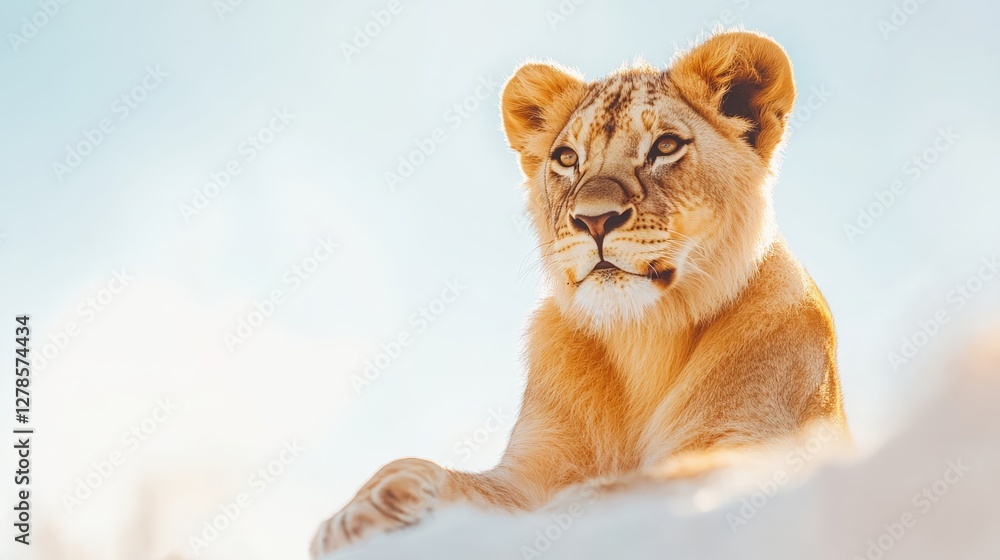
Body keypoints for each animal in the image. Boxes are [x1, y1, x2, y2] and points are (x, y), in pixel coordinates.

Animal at [310, 30, 850, 557]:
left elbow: (637, 486)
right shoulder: (530, 470)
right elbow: (422, 469)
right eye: (567, 158)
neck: (643, 338)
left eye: (666, 145)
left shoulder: (757, 446)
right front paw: (354, 515)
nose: (594, 220)